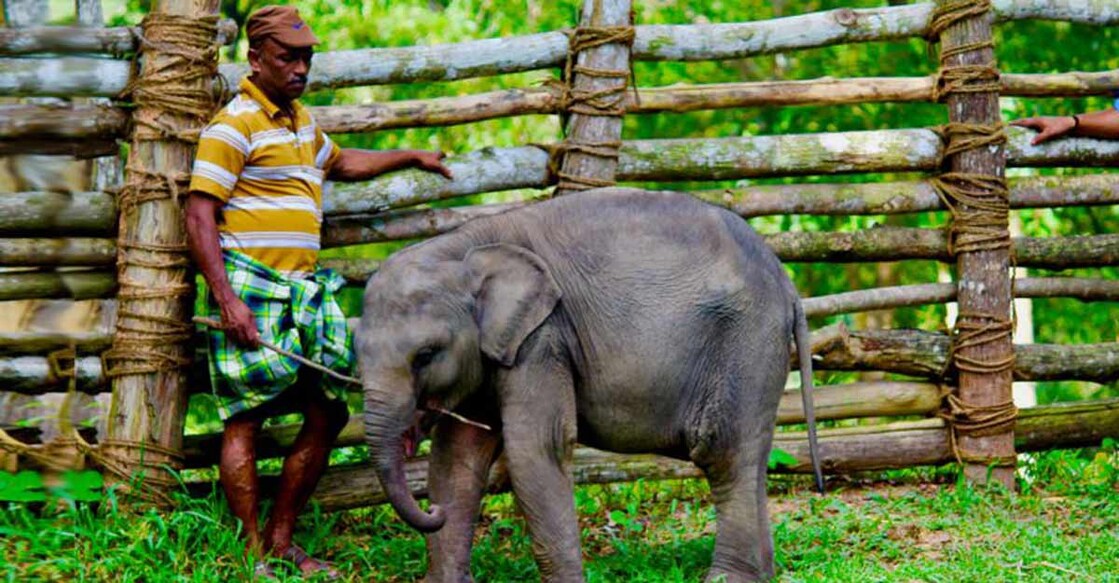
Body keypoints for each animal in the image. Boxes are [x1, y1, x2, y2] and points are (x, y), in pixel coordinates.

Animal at [357, 187, 822, 582]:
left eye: (425, 355)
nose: (431, 510)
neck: (462, 248)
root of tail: (786, 281)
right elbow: (455, 460)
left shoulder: (543, 339)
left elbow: (537, 448)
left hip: (747, 341)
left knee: (724, 453)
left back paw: (728, 577)